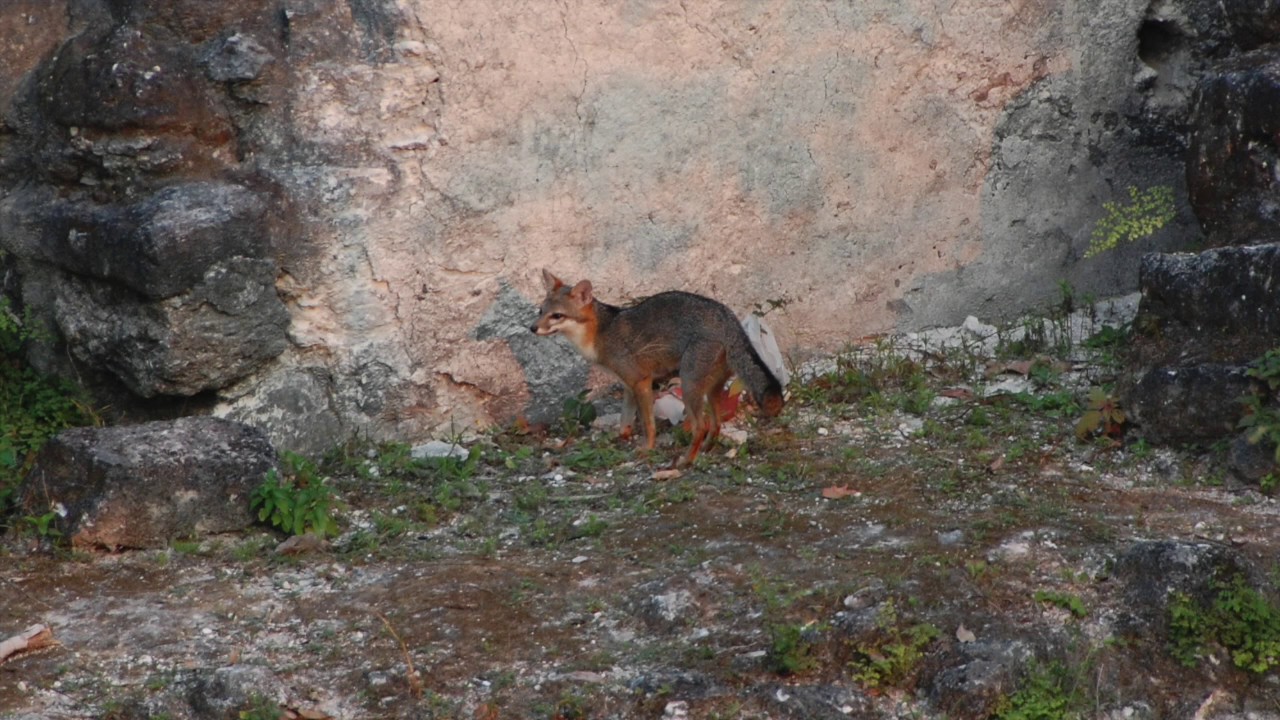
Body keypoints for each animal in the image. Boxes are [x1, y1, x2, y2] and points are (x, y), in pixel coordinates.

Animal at [530, 269, 784, 467]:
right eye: (540, 311)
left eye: (557, 315)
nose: (532, 328)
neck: (600, 332)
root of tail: (727, 316)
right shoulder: (628, 386)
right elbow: (624, 421)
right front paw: (620, 438)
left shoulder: (641, 381)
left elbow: (648, 424)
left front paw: (647, 449)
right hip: (711, 389)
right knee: (716, 423)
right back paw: (706, 449)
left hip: (689, 384)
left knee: (701, 426)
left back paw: (686, 461)